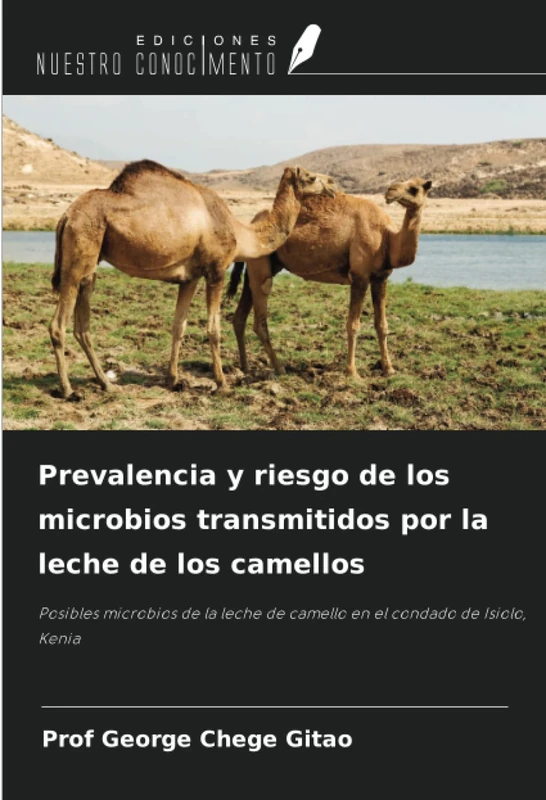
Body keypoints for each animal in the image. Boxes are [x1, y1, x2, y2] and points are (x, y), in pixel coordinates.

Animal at [49, 159, 337, 400]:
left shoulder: (190, 278)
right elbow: (213, 329)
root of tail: (66, 216)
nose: (333, 184)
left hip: (91, 263)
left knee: (82, 325)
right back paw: (69, 390)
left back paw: (107, 384)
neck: (240, 231)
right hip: (78, 254)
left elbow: (179, 325)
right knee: (58, 325)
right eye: (311, 177)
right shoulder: (216, 270)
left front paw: (173, 380)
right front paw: (222, 383)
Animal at [227, 177, 432, 379]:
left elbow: (382, 325)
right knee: (260, 317)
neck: (387, 237)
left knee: (239, 316)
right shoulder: (359, 275)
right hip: (261, 266)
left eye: (414, 188)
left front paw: (389, 369)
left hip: (260, 265)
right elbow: (353, 324)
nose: (390, 191)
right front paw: (352, 372)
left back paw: (245, 368)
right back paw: (279, 368)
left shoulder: (381, 277)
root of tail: (251, 224)